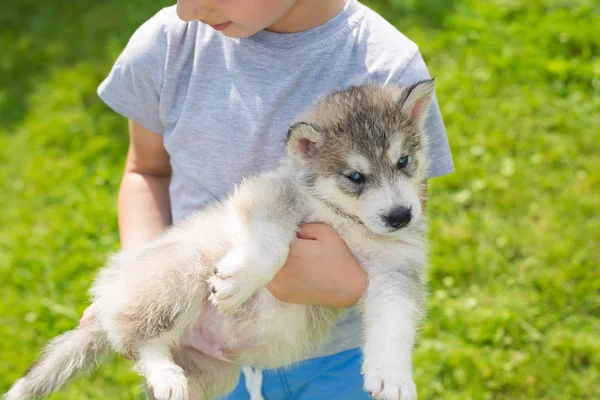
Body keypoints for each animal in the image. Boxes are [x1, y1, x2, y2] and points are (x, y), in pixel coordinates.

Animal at [5, 80, 436, 400]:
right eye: (355, 177)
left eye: (403, 161)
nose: (400, 216)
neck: (347, 221)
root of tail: (110, 299)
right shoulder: (269, 196)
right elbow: (270, 244)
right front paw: (239, 280)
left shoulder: (396, 272)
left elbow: (394, 324)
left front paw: (393, 376)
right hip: (178, 273)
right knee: (139, 344)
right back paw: (165, 373)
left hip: (215, 373)